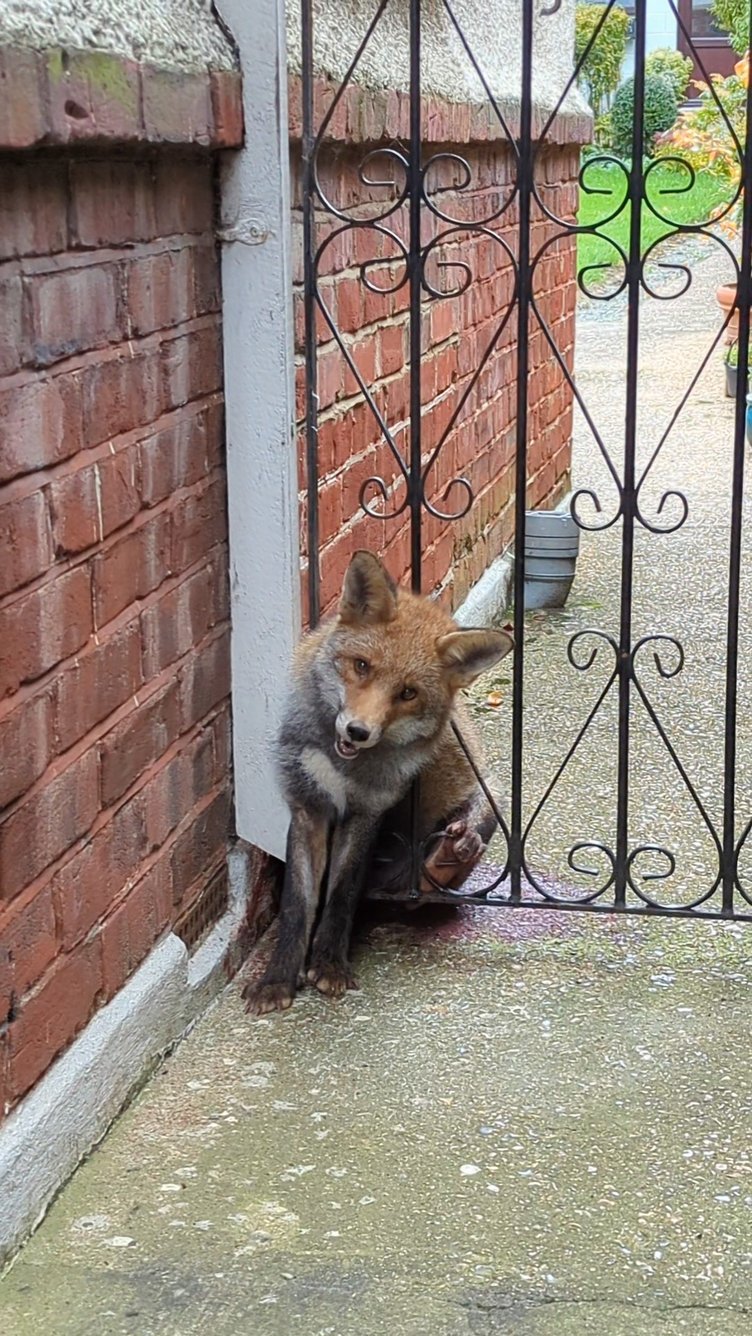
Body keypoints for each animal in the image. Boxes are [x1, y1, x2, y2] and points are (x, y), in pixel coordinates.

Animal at [243, 550, 513, 1015]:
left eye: (407, 693)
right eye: (362, 666)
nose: (357, 731)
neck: (345, 769)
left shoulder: (367, 811)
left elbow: (342, 893)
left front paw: (329, 964)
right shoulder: (308, 805)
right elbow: (298, 904)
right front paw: (277, 979)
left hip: (489, 801)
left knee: (422, 892)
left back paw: (446, 858)